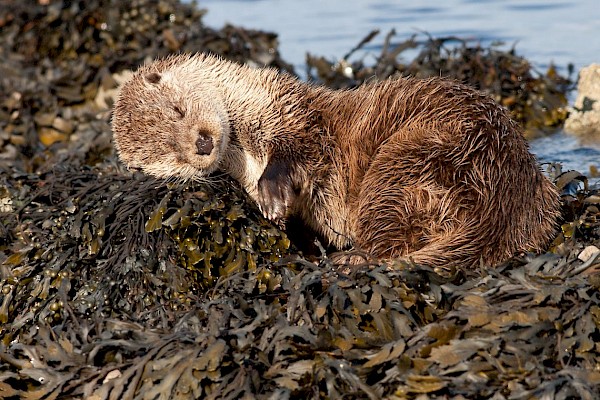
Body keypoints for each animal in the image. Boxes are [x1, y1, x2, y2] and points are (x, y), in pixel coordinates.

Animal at [113, 53, 564, 270]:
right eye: (168, 154)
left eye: (178, 110)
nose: (202, 145)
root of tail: (504, 194)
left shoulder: (289, 115)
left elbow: (298, 149)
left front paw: (273, 193)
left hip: (407, 160)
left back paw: (347, 259)